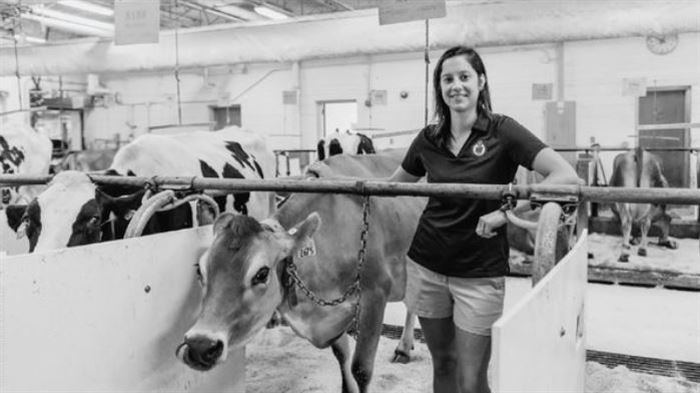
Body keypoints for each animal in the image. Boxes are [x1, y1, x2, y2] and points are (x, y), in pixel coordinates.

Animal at [175, 149, 426, 388]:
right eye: (200, 270)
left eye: (262, 273)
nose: (199, 345)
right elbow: (342, 357)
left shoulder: (375, 295)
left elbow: (361, 370)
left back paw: (403, 348)